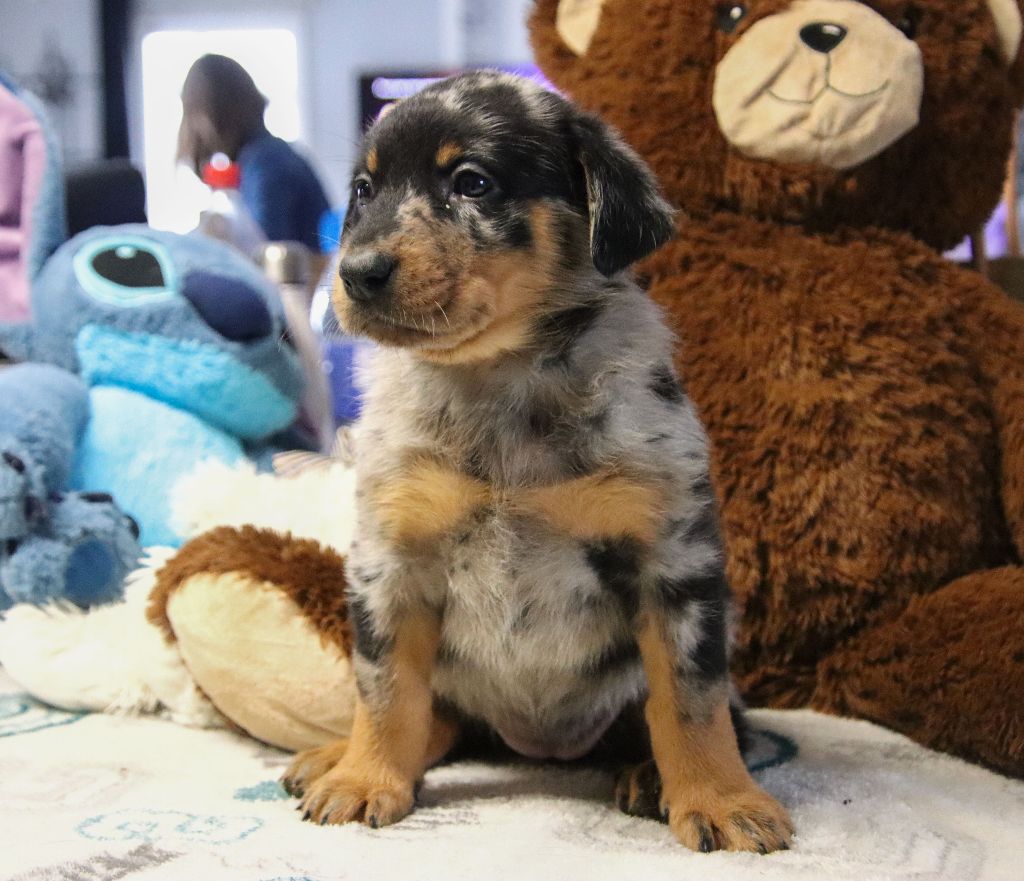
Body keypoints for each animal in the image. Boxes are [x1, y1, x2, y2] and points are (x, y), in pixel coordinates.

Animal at [281, 71, 793, 854]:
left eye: (472, 181)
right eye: (364, 190)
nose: (357, 274)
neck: (501, 382)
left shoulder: (672, 563)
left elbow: (689, 700)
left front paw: (722, 799)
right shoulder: (391, 560)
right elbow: (387, 688)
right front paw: (366, 777)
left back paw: (651, 776)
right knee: (442, 717)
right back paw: (334, 755)